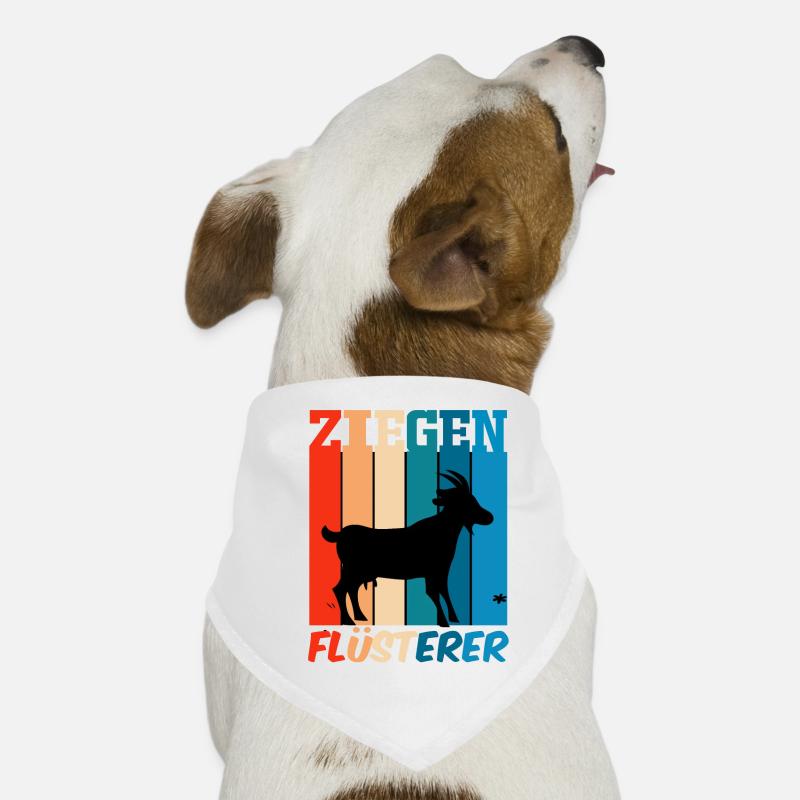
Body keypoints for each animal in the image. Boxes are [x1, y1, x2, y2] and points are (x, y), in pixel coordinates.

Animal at [321, 470, 493, 627]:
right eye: (465, 501)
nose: (489, 517)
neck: (442, 530)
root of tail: (340, 534)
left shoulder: (442, 570)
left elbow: (444, 590)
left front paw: (454, 618)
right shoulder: (432, 571)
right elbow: (433, 592)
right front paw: (444, 622)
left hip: (359, 572)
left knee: (352, 589)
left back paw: (360, 616)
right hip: (352, 569)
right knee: (340, 589)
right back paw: (349, 620)